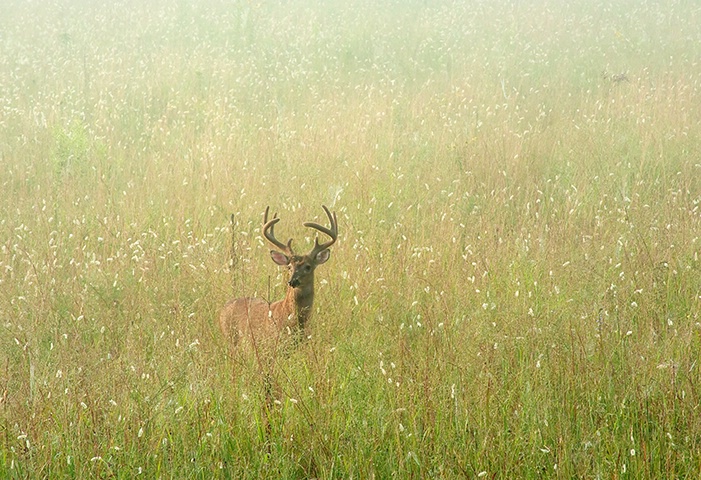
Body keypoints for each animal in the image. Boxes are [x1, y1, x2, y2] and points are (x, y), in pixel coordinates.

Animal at [220, 203, 338, 352]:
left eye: (308, 267)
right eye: (289, 267)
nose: (293, 281)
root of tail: (224, 308)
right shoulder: (273, 343)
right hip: (231, 339)